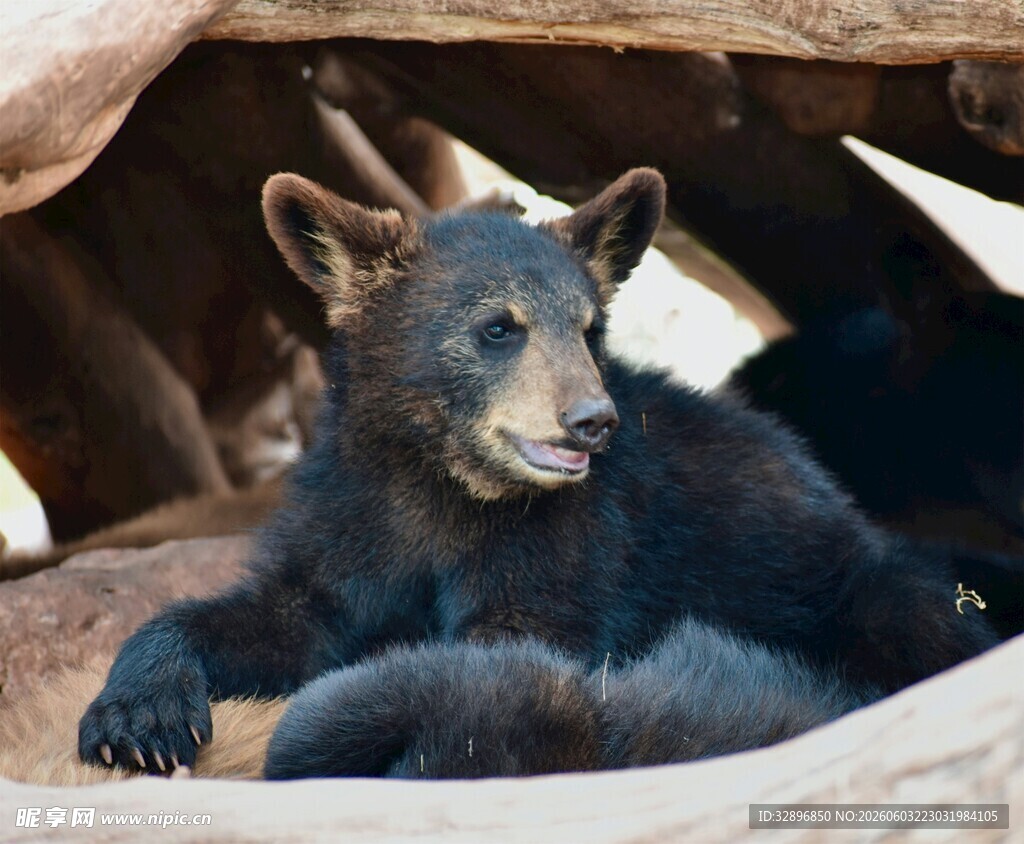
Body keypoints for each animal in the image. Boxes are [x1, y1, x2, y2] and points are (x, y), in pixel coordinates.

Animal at [78, 168, 996, 779]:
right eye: (498, 327)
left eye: (589, 328)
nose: (592, 420)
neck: (445, 482)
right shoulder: (350, 517)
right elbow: (280, 613)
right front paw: (137, 716)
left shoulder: (575, 542)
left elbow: (504, 654)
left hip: (859, 589)